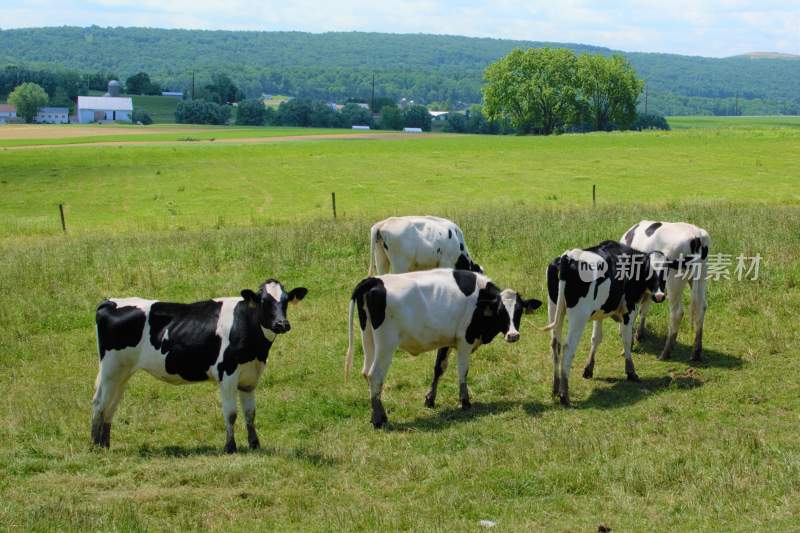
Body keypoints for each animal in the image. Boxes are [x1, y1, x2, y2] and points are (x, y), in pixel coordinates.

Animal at [92, 280, 308, 450]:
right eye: (264, 301)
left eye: (286, 300)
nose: (282, 324)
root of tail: (109, 302)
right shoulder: (227, 374)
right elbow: (231, 413)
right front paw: (230, 447)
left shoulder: (250, 378)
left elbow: (250, 413)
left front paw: (254, 445)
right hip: (110, 369)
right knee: (99, 402)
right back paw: (95, 446)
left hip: (123, 373)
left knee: (111, 405)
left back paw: (105, 445)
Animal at [346, 268, 544, 426]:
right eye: (500, 311)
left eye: (518, 311)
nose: (513, 335)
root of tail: (375, 280)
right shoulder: (465, 340)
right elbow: (463, 371)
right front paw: (465, 401)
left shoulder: (447, 340)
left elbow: (439, 368)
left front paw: (430, 399)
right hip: (386, 344)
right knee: (375, 375)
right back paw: (379, 419)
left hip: (368, 339)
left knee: (366, 373)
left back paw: (377, 414)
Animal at [544, 239, 668, 406]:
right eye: (649, 270)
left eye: (665, 271)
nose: (660, 295)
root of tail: (569, 256)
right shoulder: (629, 310)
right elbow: (626, 339)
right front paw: (631, 371)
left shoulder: (599, 313)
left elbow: (596, 338)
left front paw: (588, 369)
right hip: (578, 316)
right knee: (568, 348)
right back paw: (565, 396)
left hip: (554, 309)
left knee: (555, 345)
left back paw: (556, 389)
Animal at [620, 218, 708, 360]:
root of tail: (696, 234)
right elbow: (644, 309)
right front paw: (639, 334)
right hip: (701, 277)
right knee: (701, 307)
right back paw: (696, 352)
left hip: (673, 280)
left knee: (677, 312)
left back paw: (665, 353)